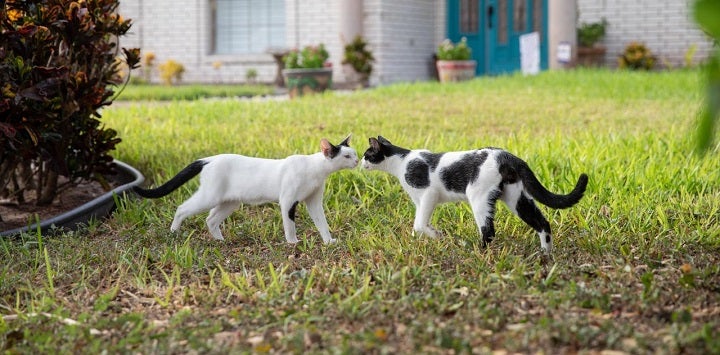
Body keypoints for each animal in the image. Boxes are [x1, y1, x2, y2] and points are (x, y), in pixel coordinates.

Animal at [134, 136, 358, 245]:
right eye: (346, 156)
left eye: (354, 153)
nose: (357, 161)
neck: (315, 169)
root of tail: (209, 158)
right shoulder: (288, 201)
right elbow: (290, 225)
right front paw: (293, 242)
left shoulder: (314, 202)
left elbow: (322, 224)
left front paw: (329, 241)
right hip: (209, 197)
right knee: (182, 209)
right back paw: (174, 232)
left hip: (229, 202)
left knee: (211, 219)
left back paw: (220, 240)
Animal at [362, 137, 588, 256]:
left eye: (367, 155)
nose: (361, 163)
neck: (401, 163)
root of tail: (506, 155)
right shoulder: (420, 202)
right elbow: (418, 224)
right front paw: (422, 240)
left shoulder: (428, 195)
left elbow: (419, 224)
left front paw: (437, 236)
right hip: (516, 197)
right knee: (542, 222)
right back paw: (546, 253)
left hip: (479, 197)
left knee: (488, 230)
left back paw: (478, 252)